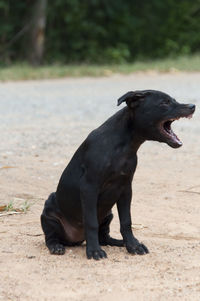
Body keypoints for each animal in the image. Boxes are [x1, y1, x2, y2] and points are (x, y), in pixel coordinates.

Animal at [41, 88, 195, 258]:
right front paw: (94, 251)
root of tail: (75, 239)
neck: (122, 147)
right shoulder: (89, 187)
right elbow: (91, 222)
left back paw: (119, 242)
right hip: (49, 213)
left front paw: (133, 245)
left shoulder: (125, 188)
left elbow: (126, 222)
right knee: (51, 237)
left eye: (173, 100)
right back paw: (57, 246)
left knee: (104, 237)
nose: (193, 106)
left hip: (108, 214)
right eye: (164, 103)